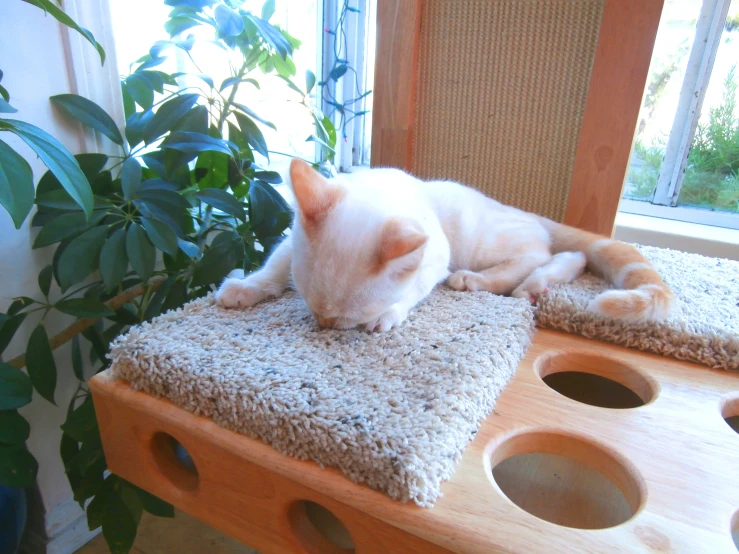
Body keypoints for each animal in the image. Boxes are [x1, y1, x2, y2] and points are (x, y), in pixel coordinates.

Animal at [217, 160, 672, 332]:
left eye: (345, 318)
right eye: (312, 307)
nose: (324, 326)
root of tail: (523, 210)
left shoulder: (437, 257)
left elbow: (413, 290)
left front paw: (387, 315)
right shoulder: (288, 242)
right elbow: (274, 266)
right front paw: (245, 287)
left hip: (476, 238)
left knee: (539, 253)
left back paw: (488, 282)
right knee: (570, 254)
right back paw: (535, 286)